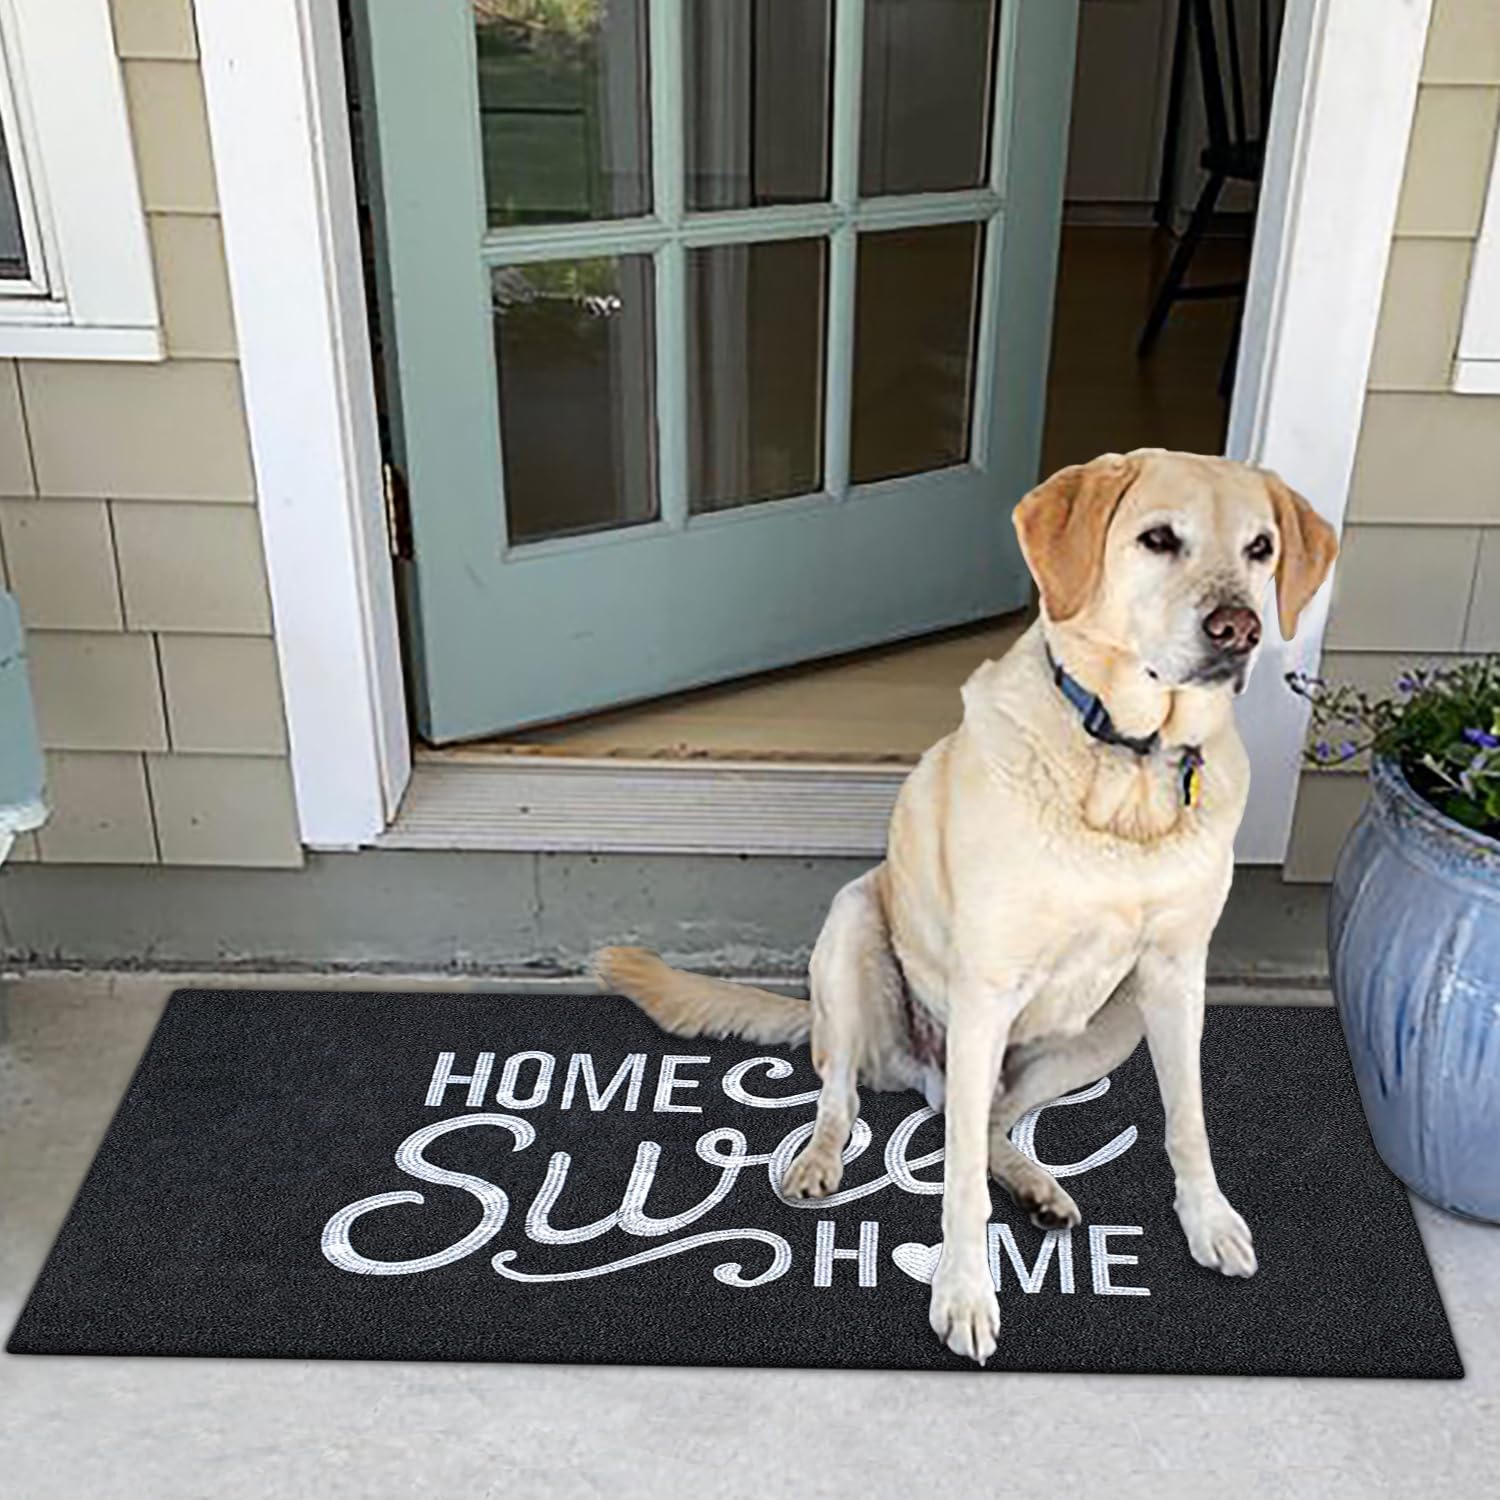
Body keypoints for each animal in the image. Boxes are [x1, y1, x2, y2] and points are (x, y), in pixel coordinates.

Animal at [595, 450, 1338, 1363]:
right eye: (1159, 539)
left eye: (1261, 548)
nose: (1238, 629)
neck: (1126, 766)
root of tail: (915, 1070)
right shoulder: (986, 985)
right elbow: (953, 1187)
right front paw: (963, 1292)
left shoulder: (1176, 973)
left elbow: (1188, 1119)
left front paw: (1208, 1220)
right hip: (852, 931)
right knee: (847, 1098)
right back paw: (819, 1161)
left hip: (1109, 1028)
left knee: (985, 1124)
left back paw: (1036, 1184)